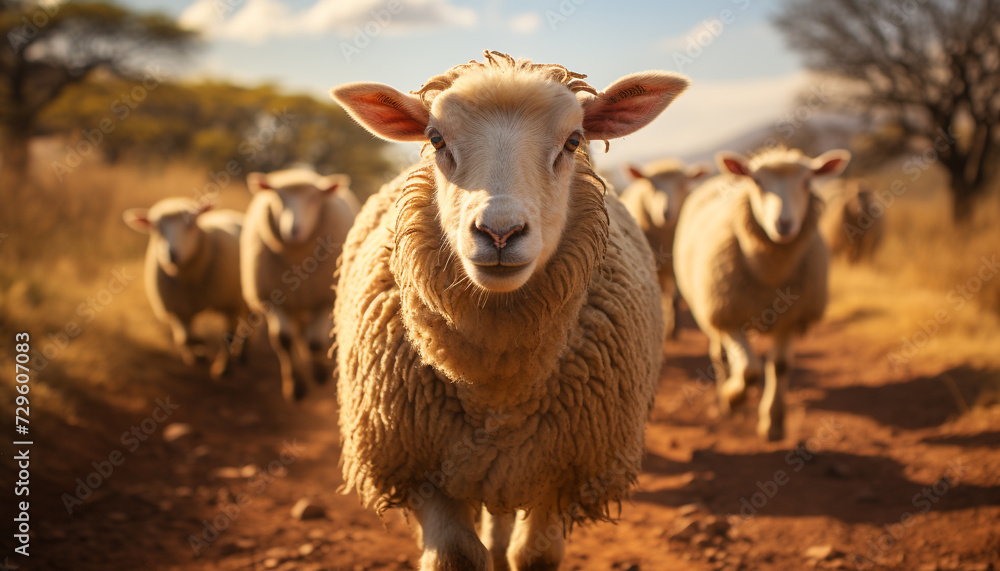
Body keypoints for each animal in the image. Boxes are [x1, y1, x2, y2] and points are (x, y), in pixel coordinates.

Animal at [123, 198, 247, 378]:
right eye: (156, 228)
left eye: (191, 225)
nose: (171, 255)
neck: (189, 277)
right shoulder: (177, 308)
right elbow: (184, 338)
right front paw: (199, 352)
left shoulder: (231, 305)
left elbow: (229, 338)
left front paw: (222, 368)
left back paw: (243, 355)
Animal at [240, 169, 359, 402]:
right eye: (277, 197)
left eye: (314, 198)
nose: (293, 231)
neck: (299, 258)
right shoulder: (273, 298)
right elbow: (284, 340)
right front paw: (296, 386)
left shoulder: (324, 300)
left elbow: (316, 342)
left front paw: (320, 374)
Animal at [330, 50, 688, 570]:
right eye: (435, 139)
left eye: (574, 140)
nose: (499, 233)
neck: (495, 385)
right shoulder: (418, 469)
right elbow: (457, 556)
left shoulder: (565, 474)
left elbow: (534, 557)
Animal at [619, 159, 710, 339]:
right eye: (651, 184)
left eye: (682, 184)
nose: (664, 213)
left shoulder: (677, 266)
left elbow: (675, 299)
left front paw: (674, 329)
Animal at [674, 146, 850, 441]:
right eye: (756, 182)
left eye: (807, 182)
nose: (784, 224)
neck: (769, 274)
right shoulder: (729, 315)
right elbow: (750, 370)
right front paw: (734, 397)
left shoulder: (791, 319)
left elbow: (780, 366)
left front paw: (774, 424)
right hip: (710, 307)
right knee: (720, 355)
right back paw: (724, 399)